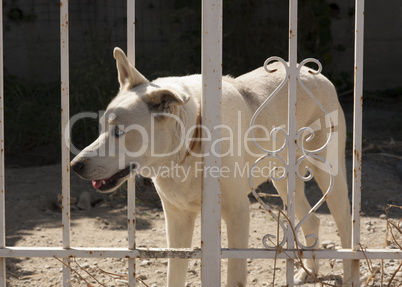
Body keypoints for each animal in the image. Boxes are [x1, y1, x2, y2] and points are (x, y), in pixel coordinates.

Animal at [70, 48, 350, 286]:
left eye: (119, 131)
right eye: (102, 128)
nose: (75, 165)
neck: (192, 142)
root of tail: (311, 72)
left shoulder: (237, 212)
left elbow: (235, 275)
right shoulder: (176, 219)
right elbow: (174, 274)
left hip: (329, 175)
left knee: (345, 230)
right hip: (281, 177)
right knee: (311, 221)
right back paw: (308, 273)